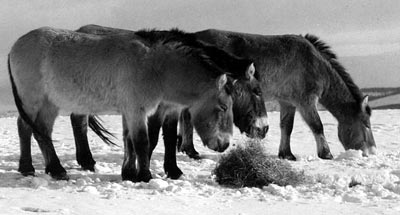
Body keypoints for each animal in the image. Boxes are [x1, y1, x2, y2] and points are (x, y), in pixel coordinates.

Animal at [7, 26, 253, 181]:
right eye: (223, 107)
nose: (225, 144)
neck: (156, 66)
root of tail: (14, 46)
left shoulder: (130, 111)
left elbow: (129, 142)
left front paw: (128, 174)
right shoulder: (137, 110)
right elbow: (142, 142)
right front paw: (144, 176)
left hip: (50, 103)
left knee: (42, 132)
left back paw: (53, 169)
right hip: (32, 100)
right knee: (26, 128)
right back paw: (32, 168)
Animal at [177, 29, 376, 160]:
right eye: (366, 125)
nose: (372, 152)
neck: (314, 63)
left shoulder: (288, 102)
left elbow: (287, 127)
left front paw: (286, 154)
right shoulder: (306, 102)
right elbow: (317, 126)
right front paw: (326, 153)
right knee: (187, 117)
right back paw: (190, 150)